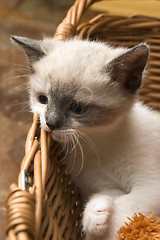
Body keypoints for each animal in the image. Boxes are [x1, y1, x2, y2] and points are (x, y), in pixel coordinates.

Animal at [11, 36, 160, 240]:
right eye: (43, 99)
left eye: (78, 108)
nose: (50, 123)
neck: (99, 142)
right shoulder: (96, 181)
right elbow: (109, 195)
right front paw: (96, 216)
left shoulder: (150, 185)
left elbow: (126, 213)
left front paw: (104, 228)